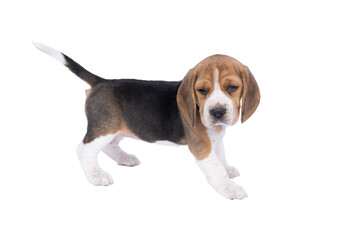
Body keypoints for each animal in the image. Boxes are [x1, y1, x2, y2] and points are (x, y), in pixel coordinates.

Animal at [34, 42, 258, 199]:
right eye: (202, 90)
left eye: (232, 87)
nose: (217, 112)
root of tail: (101, 82)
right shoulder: (201, 144)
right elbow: (215, 166)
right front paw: (230, 188)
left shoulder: (215, 138)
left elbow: (221, 155)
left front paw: (228, 168)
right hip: (104, 128)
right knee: (84, 149)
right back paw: (97, 175)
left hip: (119, 129)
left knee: (108, 146)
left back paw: (124, 158)